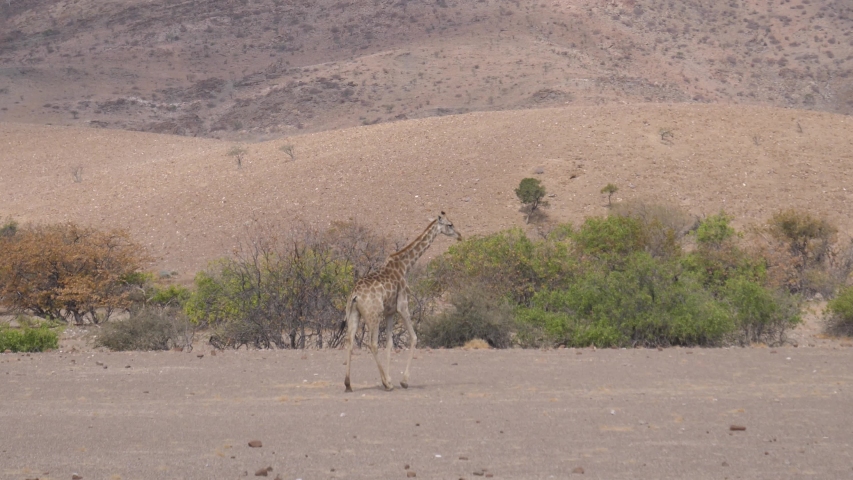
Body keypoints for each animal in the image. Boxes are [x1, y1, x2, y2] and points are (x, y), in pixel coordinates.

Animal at [343, 212, 462, 392]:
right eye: (450, 224)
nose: (459, 236)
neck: (405, 265)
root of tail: (355, 295)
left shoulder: (390, 312)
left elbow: (390, 343)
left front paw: (391, 377)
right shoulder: (402, 306)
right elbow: (414, 337)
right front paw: (403, 381)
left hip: (354, 314)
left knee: (350, 341)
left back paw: (348, 384)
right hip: (373, 314)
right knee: (372, 343)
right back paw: (386, 385)